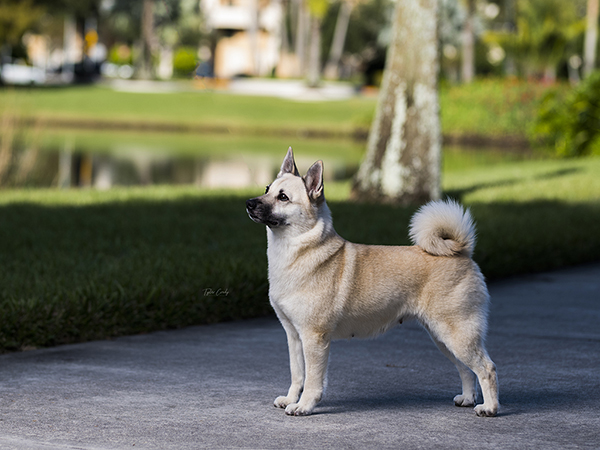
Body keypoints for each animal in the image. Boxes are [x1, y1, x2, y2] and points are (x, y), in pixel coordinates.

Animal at [246, 149, 500, 418]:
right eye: (267, 189)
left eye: (283, 197)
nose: (249, 203)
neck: (298, 249)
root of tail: (462, 252)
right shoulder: (294, 337)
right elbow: (297, 375)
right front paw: (290, 399)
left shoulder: (314, 338)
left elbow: (313, 380)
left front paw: (304, 406)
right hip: (443, 338)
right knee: (466, 370)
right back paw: (468, 398)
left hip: (457, 335)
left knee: (486, 368)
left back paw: (489, 407)